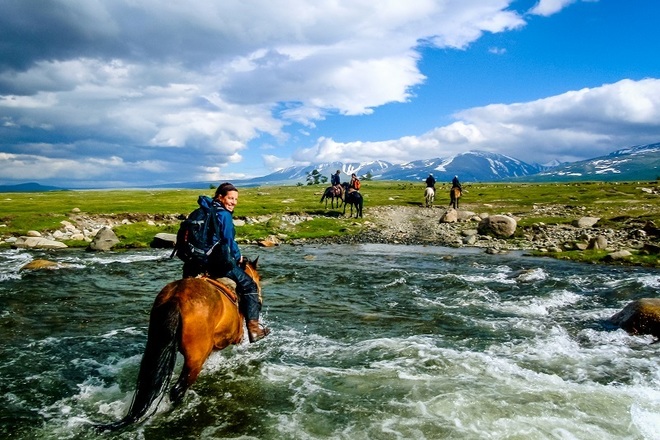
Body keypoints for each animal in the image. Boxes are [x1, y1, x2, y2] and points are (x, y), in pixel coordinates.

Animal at [96, 256, 262, 432]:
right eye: (259, 278)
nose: (260, 300)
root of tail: (175, 298)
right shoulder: (235, 336)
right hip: (195, 360)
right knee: (177, 389)